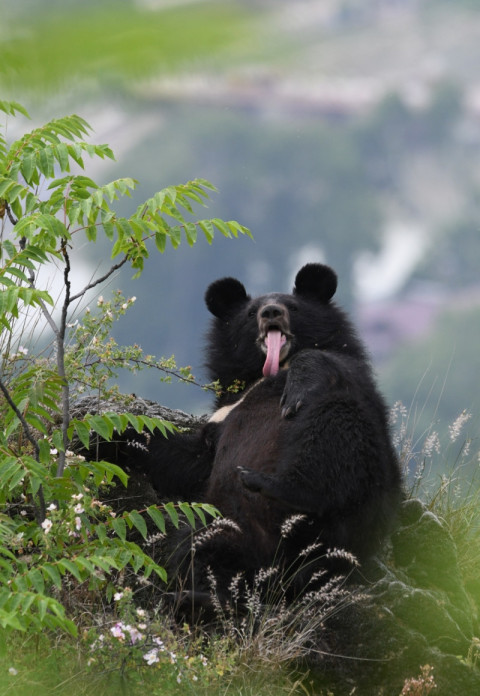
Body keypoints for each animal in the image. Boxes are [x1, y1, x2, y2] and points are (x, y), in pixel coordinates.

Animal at [119, 264, 402, 600]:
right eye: (251, 313)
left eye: (292, 306)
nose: (271, 312)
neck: (268, 371)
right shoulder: (220, 420)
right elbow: (181, 458)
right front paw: (103, 439)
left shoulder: (351, 374)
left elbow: (321, 362)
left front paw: (295, 394)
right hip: (231, 525)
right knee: (200, 549)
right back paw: (197, 597)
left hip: (357, 483)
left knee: (330, 439)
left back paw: (265, 482)